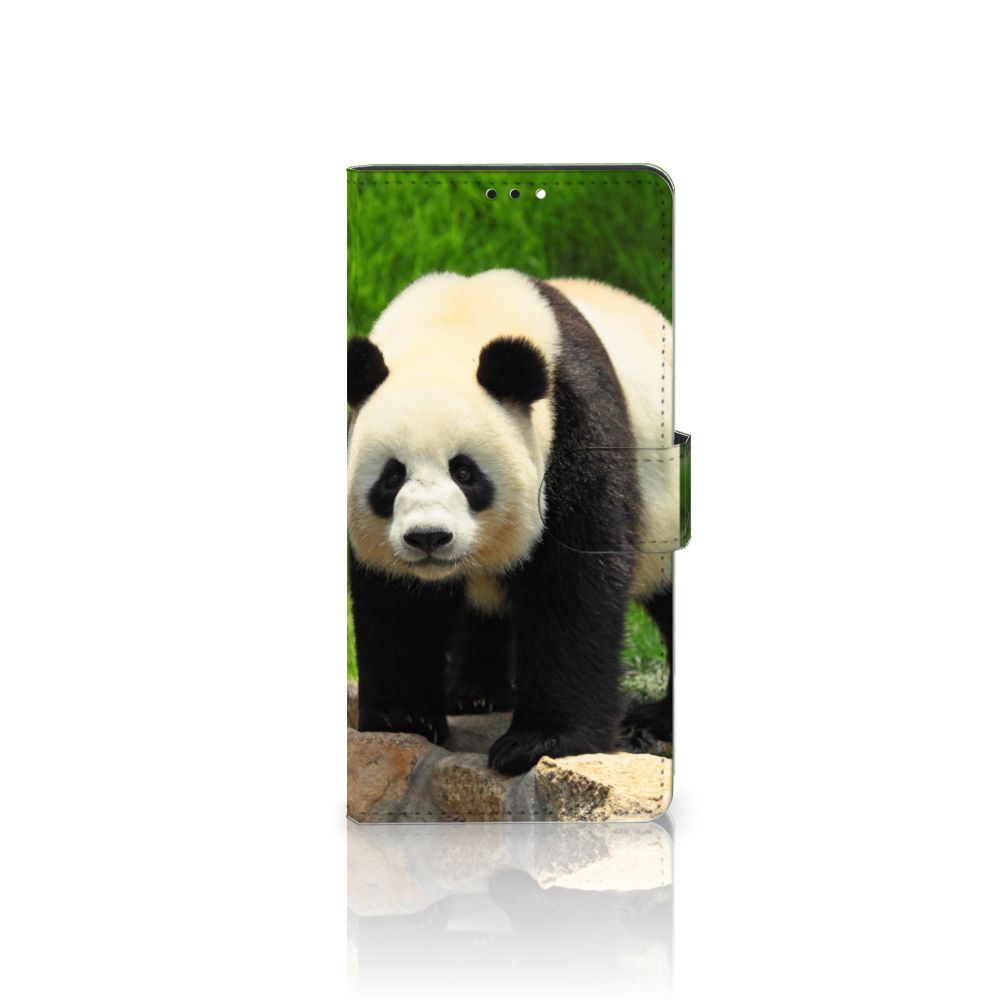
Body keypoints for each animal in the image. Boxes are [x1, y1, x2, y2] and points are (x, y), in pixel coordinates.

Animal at [347, 269, 676, 776]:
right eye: (392, 476)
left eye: (464, 472)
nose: (428, 538)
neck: (455, 323)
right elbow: (396, 601)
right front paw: (402, 718)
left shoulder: (576, 425)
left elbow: (574, 583)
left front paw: (540, 742)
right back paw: (475, 694)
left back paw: (657, 718)